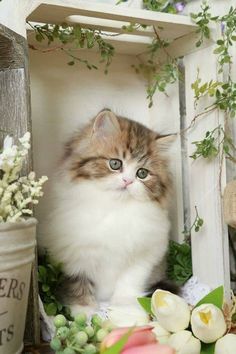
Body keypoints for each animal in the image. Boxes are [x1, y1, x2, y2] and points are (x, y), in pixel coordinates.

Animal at [39, 110, 172, 316]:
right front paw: (83, 309)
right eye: (115, 164)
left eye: (142, 173)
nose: (127, 181)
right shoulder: (72, 254)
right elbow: (78, 281)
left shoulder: (146, 255)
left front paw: (126, 308)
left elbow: (129, 282)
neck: (114, 207)